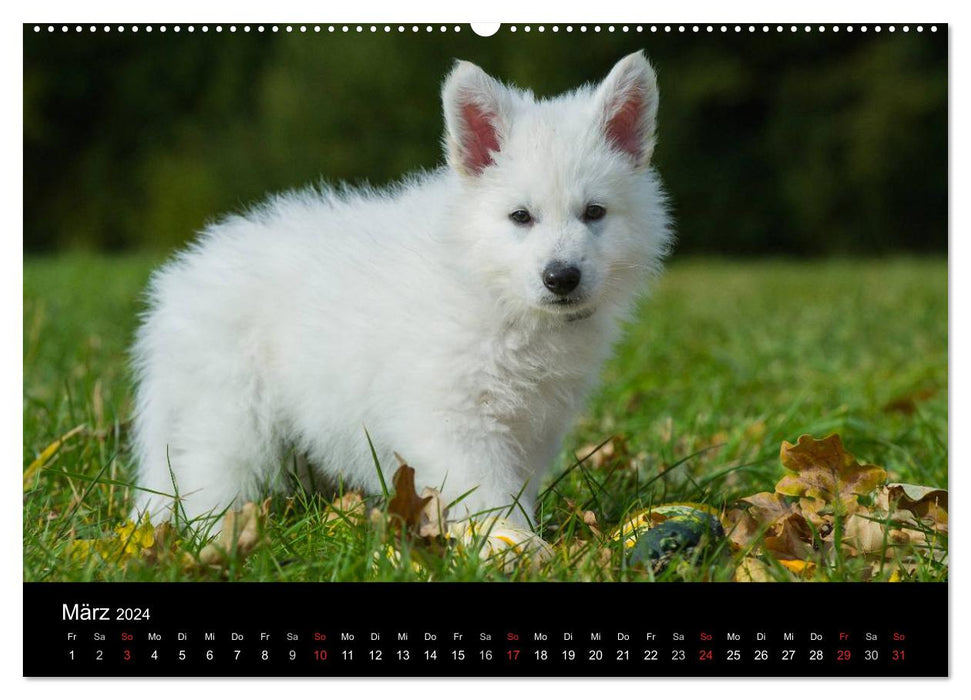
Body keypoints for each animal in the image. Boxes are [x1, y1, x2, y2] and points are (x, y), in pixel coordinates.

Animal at [131, 52, 668, 528]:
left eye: (594, 213)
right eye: (521, 217)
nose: (561, 277)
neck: (491, 288)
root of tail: (182, 278)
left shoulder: (533, 423)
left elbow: (516, 485)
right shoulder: (450, 412)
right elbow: (486, 490)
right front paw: (511, 544)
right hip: (233, 418)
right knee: (206, 481)